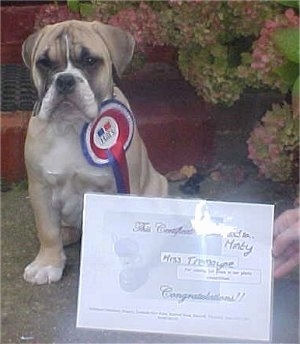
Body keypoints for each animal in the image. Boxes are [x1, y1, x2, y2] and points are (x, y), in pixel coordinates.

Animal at [22, 20, 169, 284]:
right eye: (44, 63)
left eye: (90, 61)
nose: (65, 80)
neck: (72, 127)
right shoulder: (40, 188)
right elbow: (47, 230)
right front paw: (48, 263)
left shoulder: (120, 188)